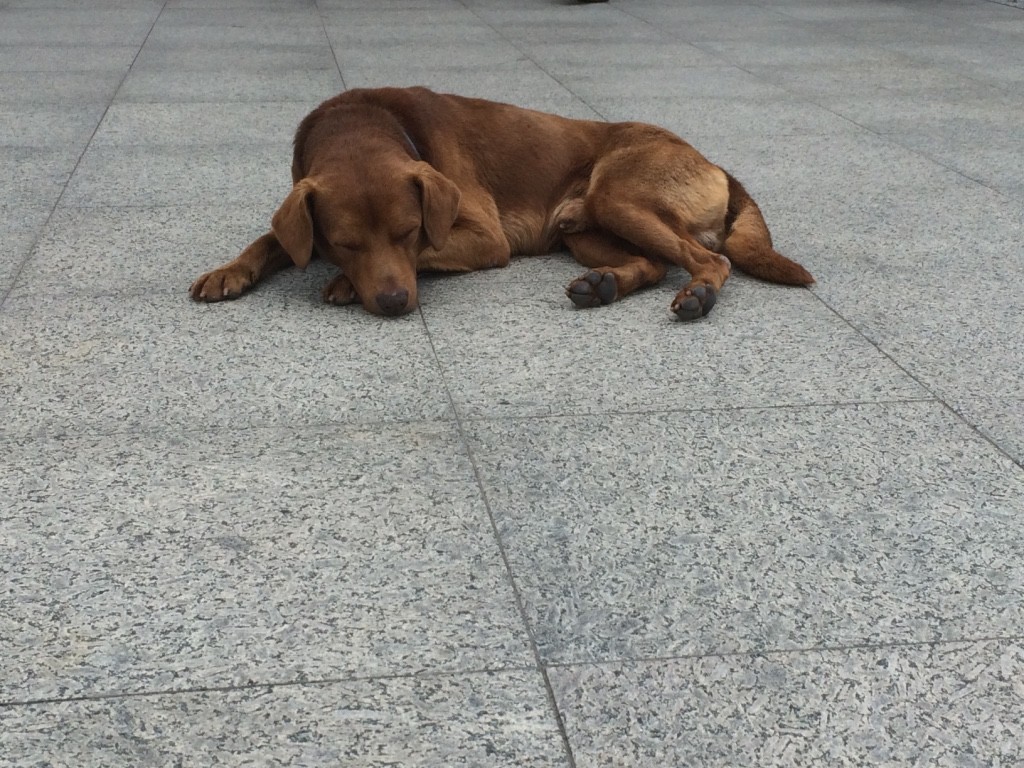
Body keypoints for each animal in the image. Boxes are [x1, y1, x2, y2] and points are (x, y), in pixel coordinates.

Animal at [190, 85, 806, 319]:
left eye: (409, 231)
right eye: (343, 242)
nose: (393, 303)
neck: (361, 122)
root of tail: (716, 164)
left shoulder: (484, 238)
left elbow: (427, 254)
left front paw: (343, 282)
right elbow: (270, 239)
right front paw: (229, 271)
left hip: (617, 196)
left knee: (710, 259)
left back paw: (699, 294)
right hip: (586, 230)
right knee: (653, 264)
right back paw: (604, 285)